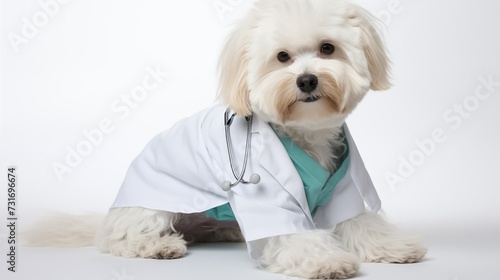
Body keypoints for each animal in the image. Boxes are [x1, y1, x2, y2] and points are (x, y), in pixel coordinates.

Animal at [26, 1, 426, 278]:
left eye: (327, 48)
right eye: (282, 57)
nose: (307, 80)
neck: (305, 132)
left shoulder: (344, 186)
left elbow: (359, 221)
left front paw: (391, 247)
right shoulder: (267, 201)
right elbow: (293, 234)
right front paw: (325, 260)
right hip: (150, 206)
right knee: (120, 237)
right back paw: (157, 245)